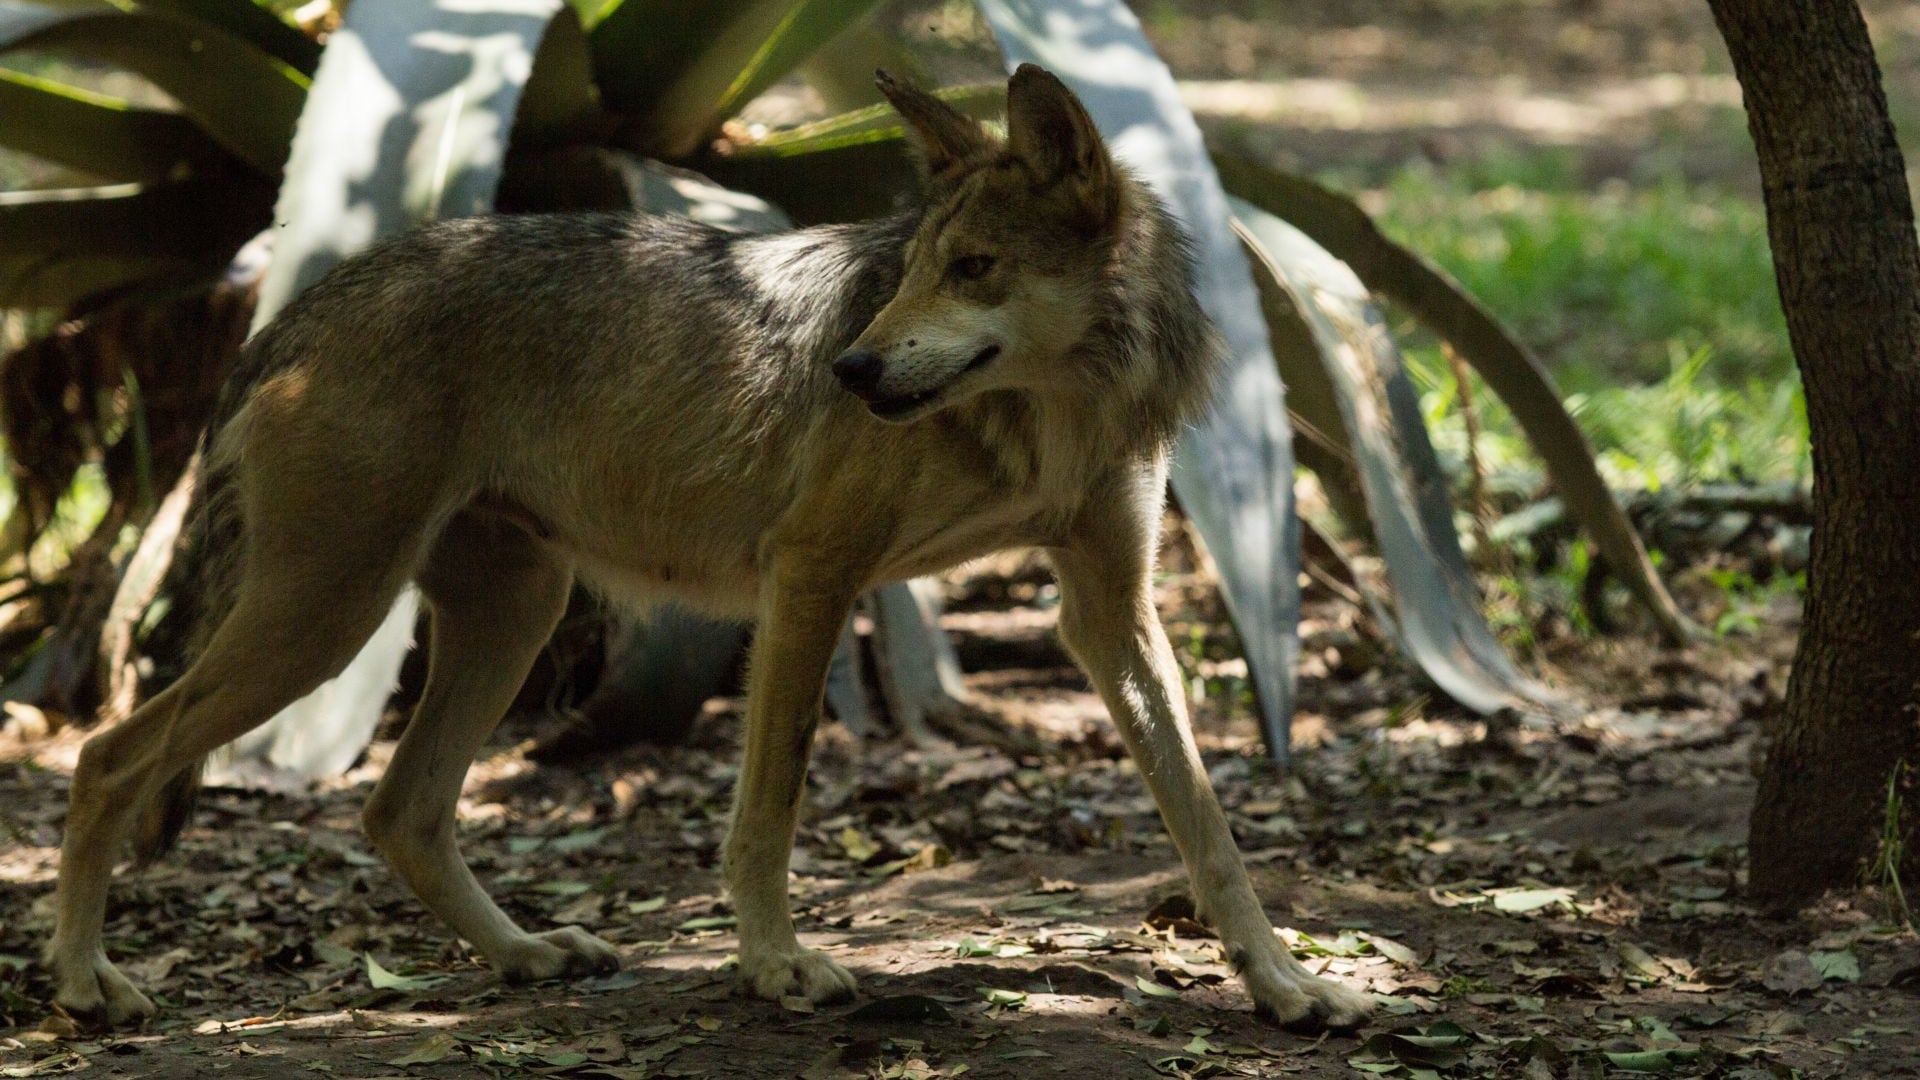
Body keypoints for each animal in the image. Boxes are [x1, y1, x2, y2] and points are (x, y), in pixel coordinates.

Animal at [43, 65, 1373, 1032]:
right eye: (913, 272)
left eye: (975, 269)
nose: (850, 369)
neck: (1054, 413)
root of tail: (295, 306)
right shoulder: (811, 578)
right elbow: (768, 808)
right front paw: (777, 965)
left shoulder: (1110, 613)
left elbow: (1207, 822)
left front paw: (1286, 983)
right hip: (329, 624)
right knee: (108, 757)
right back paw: (86, 985)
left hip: (508, 617)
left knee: (397, 811)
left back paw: (527, 954)